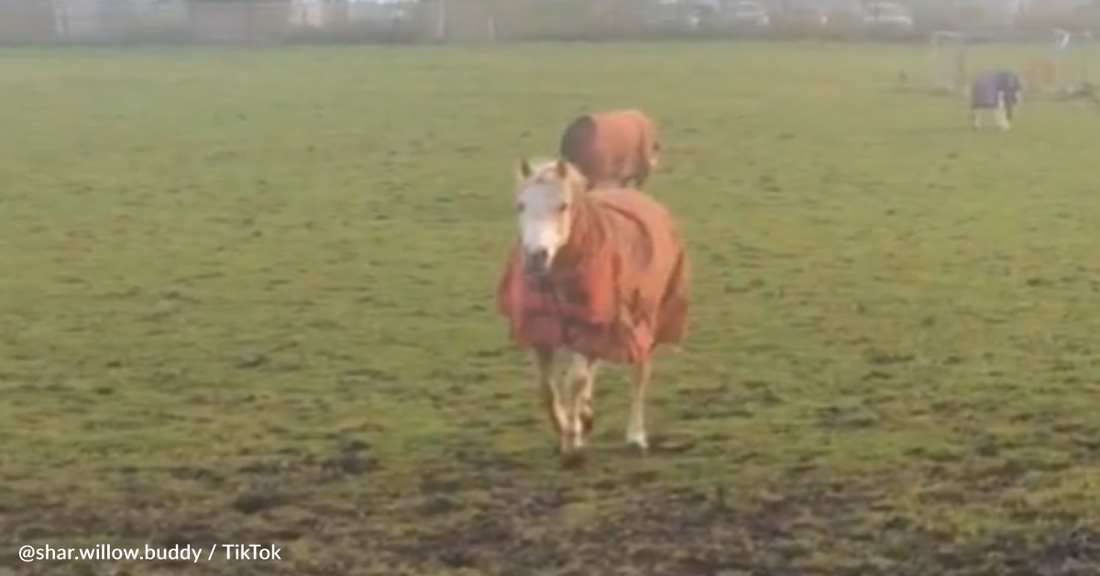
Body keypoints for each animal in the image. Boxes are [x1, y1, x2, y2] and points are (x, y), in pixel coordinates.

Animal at [495, 158, 690, 467]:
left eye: (563, 205)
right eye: (521, 204)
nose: (536, 257)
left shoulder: (590, 328)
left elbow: (573, 381)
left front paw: (572, 443)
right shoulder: (542, 332)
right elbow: (547, 388)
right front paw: (568, 427)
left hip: (645, 317)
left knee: (639, 373)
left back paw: (635, 436)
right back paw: (587, 414)